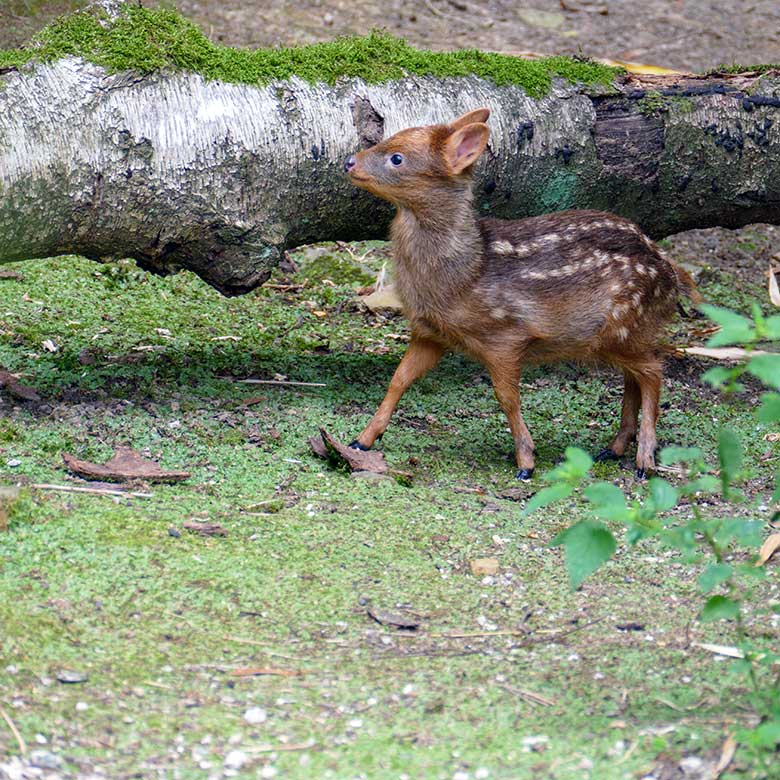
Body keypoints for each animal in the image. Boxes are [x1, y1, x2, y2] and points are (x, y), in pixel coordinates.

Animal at [344, 106, 696, 478]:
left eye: (397, 158)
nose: (349, 162)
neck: (463, 274)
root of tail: (671, 274)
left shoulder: (505, 336)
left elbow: (507, 397)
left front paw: (526, 461)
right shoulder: (429, 333)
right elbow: (398, 379)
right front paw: (362, 440)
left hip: (623, 324)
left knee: (654, 371)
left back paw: (645, 460)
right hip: (622, 335)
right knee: (635, 378)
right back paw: (614, 448)